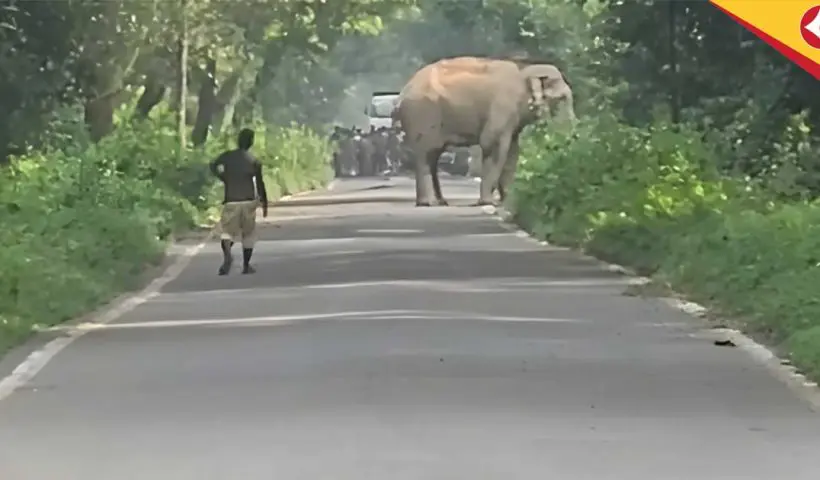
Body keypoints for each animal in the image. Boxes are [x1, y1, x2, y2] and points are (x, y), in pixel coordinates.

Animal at [391, 56, 576, 206]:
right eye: (561, 99)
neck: (525, 69)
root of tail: (401, 94)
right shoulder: (502, 108)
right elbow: (492, 144)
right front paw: (487, 202)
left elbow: (513, 151)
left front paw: (509, 202)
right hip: (423, 115)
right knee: (426, 154)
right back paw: (427, 203)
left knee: (433, 156)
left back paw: (440, 202)